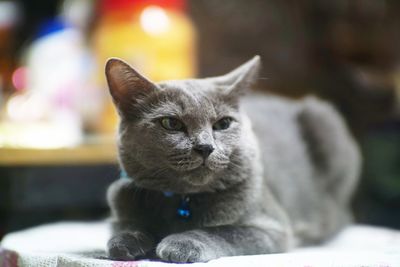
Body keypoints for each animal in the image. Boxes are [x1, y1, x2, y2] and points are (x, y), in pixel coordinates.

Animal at [104, 56, 360, 264]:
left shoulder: (273, 228)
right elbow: (123, 226)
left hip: (325, 122)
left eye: (223, 123)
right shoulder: (121, 199)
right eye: (171, 123)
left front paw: (180, 243)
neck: (182, 201)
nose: (205, 147)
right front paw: (126, 241)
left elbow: (224, 231)